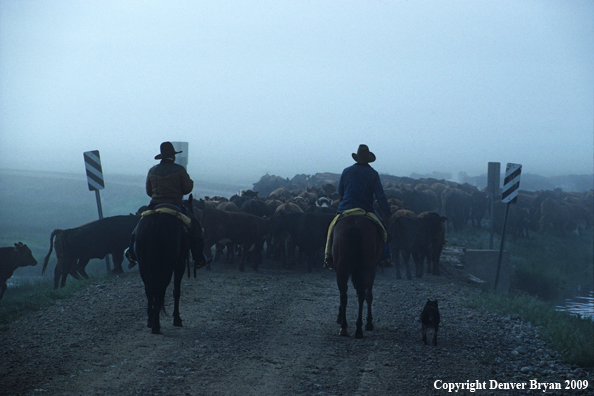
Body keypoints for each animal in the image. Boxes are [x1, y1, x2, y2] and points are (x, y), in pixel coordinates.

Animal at [134, 195, 199, 334]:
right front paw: (177, 318)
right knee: (160, 291)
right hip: (166, 268)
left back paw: (151, 320)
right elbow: (176, 290)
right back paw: (156, 325)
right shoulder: (179, 265)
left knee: (149, 290)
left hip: (144, 267)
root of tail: (154, 224)